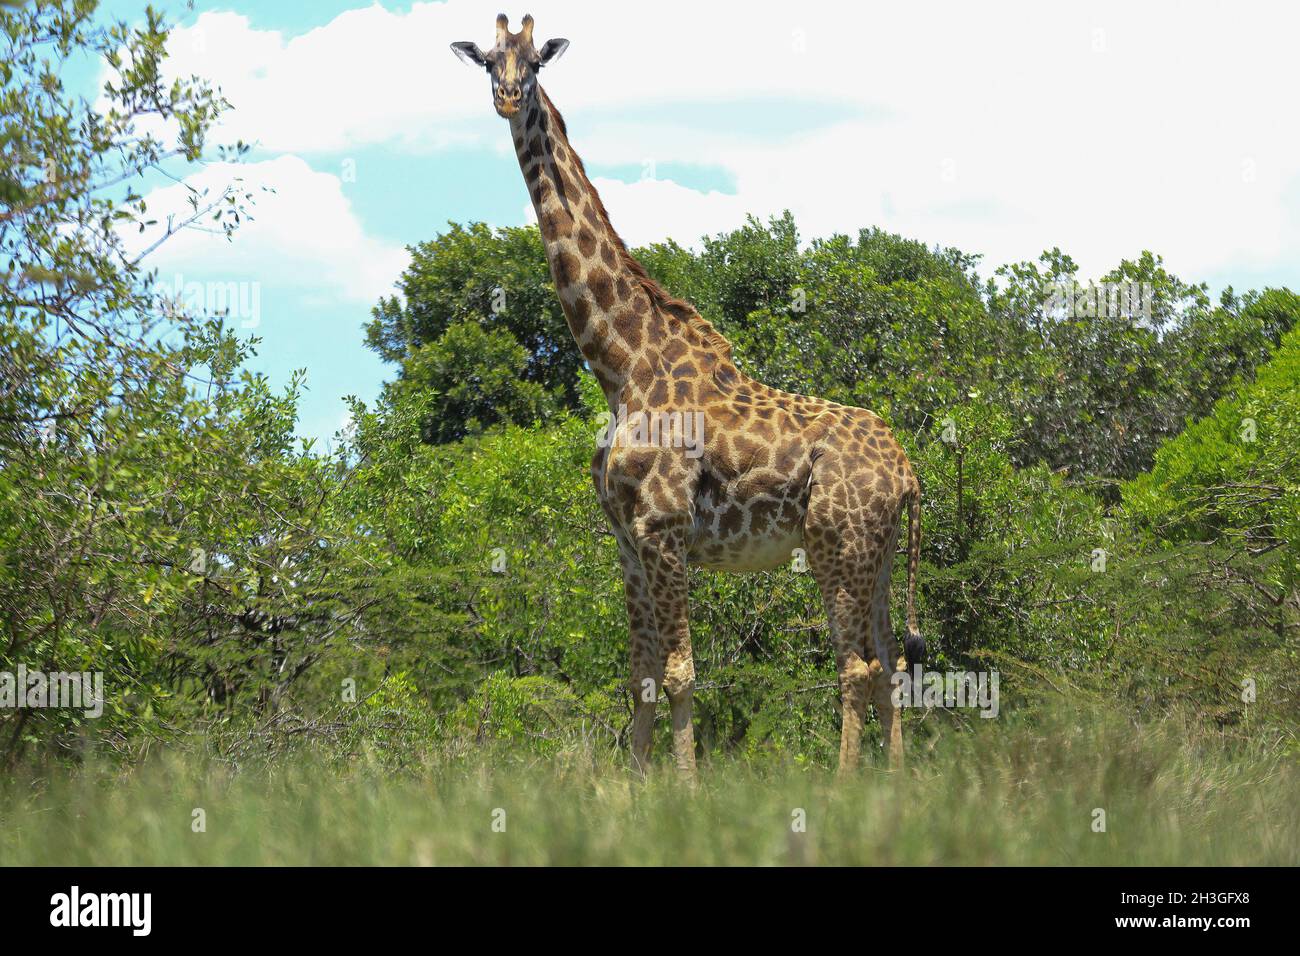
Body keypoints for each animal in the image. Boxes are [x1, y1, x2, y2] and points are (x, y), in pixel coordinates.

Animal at [454, 13, 925, 780]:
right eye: (489, 60)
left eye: (536, 60)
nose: (509, 95)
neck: (618, 366)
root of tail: (909, 471)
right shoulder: (626, 538)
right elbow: (640, 674)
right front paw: (633, 788)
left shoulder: (664, 527)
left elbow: (679, 673)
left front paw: (685, 788)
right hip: (877, 554)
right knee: (890, 664)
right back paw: (896, 784)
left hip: (838, 542)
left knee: (856, 665)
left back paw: (845, 786)